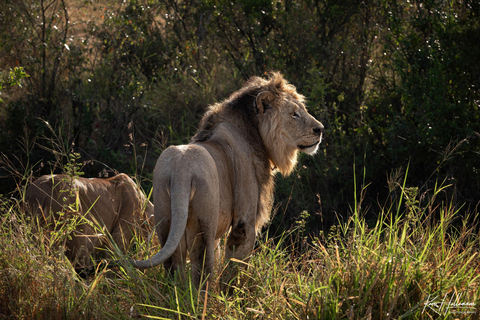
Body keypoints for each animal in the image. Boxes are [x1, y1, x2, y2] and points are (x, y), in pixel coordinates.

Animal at [133, 72, 324, 288]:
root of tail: (181, 171)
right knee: (201, 267)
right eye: (294, 114)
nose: (320, 129)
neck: (254, 133)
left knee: (174, 265)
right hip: (203, 222)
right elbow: (236, 264)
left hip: (165, 217)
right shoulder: (245, 220)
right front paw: (233, 292)